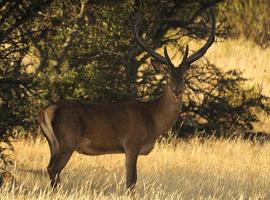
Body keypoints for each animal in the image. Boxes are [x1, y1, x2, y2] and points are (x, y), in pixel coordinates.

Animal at [37, 9, 215, 191]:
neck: (153, 119)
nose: (176, 90)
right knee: (54, 169)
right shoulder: (131, 144)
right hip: (68, 141)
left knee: (50, 168)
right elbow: (131, 181)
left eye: (184, 76)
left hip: (54, 144)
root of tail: (45, 112)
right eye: (167, 76)